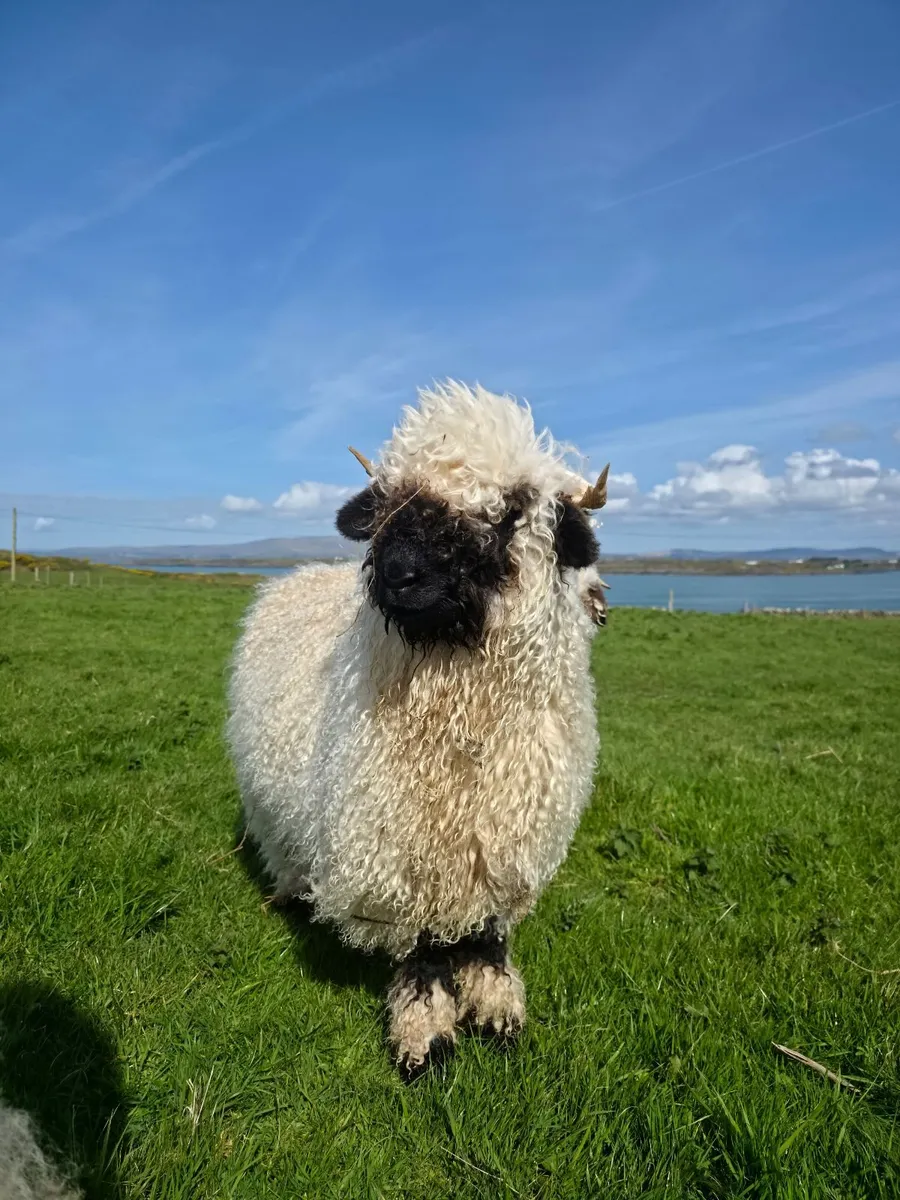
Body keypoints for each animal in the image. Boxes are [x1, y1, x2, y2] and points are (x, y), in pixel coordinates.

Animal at [226, 381, 609, 1077]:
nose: (397, 574)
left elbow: (487, 933)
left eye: (512, 510)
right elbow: (423, 946)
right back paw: (292, 892)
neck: (463, 727)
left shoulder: (507, 834)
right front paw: (425, 1031)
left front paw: (496, 1007)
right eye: (389, 503)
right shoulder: (398, 847)